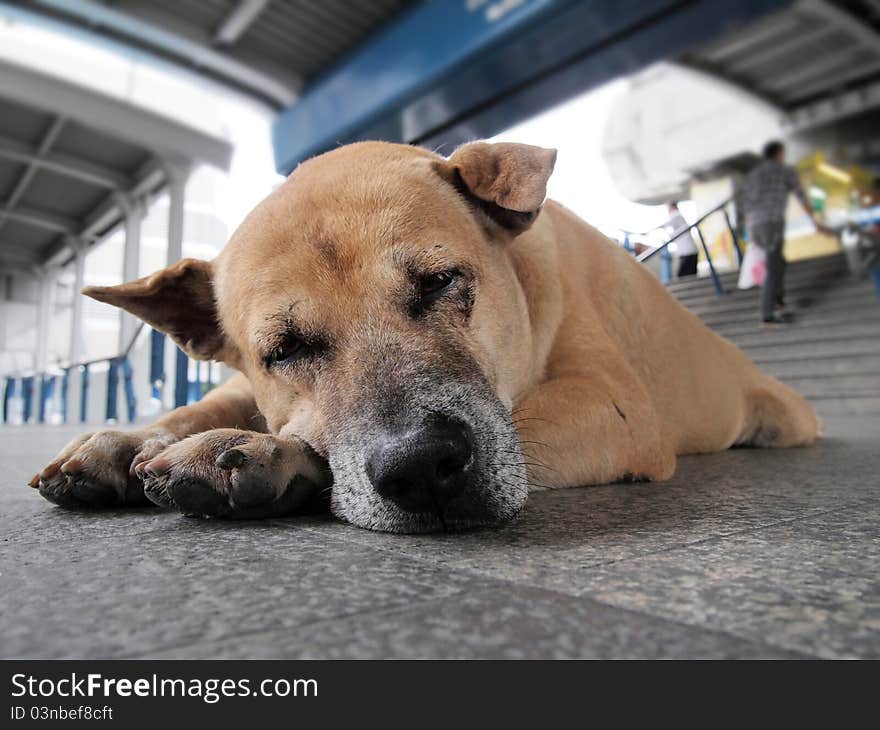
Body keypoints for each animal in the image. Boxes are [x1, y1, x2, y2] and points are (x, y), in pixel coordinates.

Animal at [29, 141, 824, 528]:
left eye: (439, 282)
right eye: (284, 350)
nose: (420, 468)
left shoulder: (612, 402)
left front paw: (274, 454)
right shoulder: (241, 378)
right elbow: (205, 402)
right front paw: (127, 439)